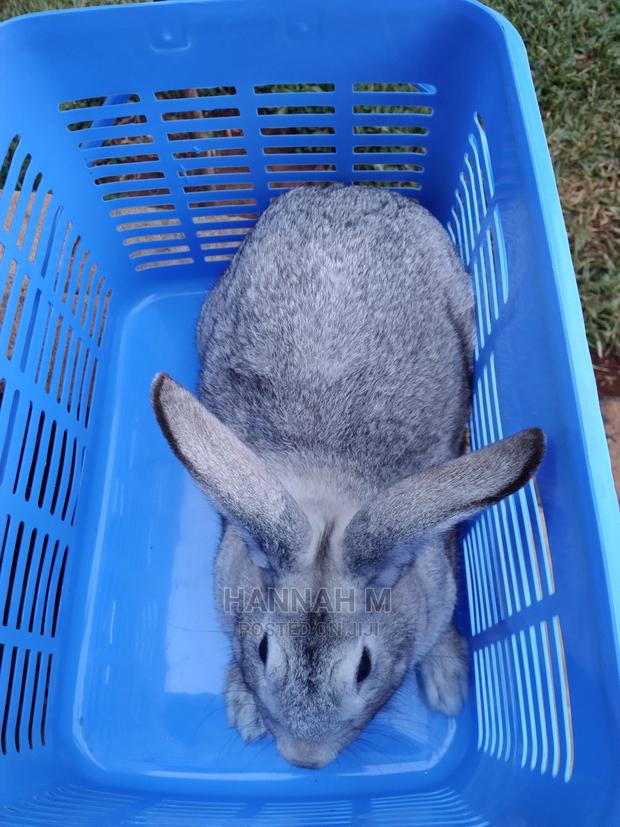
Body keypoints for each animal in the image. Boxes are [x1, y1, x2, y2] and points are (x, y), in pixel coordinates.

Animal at [151, 184, 544, 769]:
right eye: (263, 651)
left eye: (364, 666)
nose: (304, 759)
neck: (331, 502)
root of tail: (355, 189)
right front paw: (245, 711)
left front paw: (448, 686)